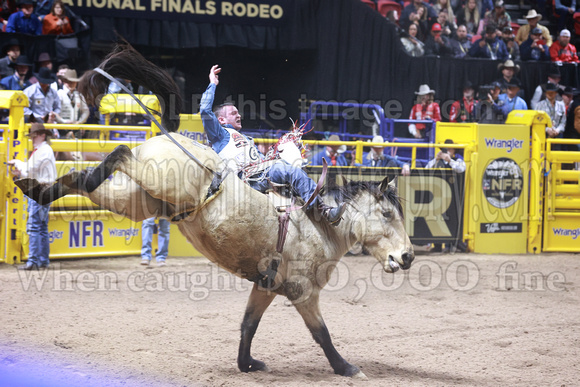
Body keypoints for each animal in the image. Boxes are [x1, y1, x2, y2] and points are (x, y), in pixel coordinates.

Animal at [15, 44, 414, 378]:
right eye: (388, 215)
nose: (408, 256)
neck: (320, 227)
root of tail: (167, 137)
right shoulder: (303, 291)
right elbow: (322, 334)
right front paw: (347, 368)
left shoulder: (267, 285)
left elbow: (248, 324)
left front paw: (248, 363)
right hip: (154, 181)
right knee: (118, 155)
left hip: (136, 199)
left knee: (83, 180)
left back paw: (36, 187)